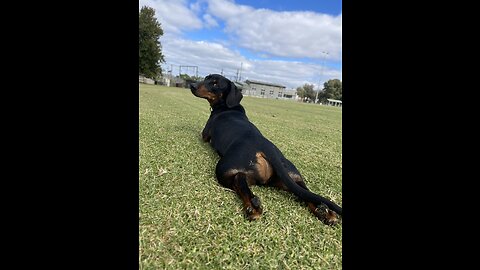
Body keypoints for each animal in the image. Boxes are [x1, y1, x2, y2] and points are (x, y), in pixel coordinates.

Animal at [189, 74, 344, 224]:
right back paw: (325, 212)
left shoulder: (205, 135)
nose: (192, 85)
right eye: (206, 78)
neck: (227, 107)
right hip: (291, 177)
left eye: (215, 83)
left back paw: (253, 207)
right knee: (305, 193)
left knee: (238, 181)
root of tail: (267, 148)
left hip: (224, 168)